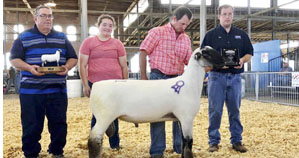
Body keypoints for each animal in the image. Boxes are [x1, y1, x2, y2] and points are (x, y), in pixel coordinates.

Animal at [88, 46, 225, 157]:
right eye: (207, 54)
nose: (224, 61)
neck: (190, 84)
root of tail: (95, 86)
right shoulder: (187, 118)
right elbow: (188, 143)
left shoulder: (180, 119)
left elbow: (183, 142)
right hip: (104, 117)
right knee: (93, 140)